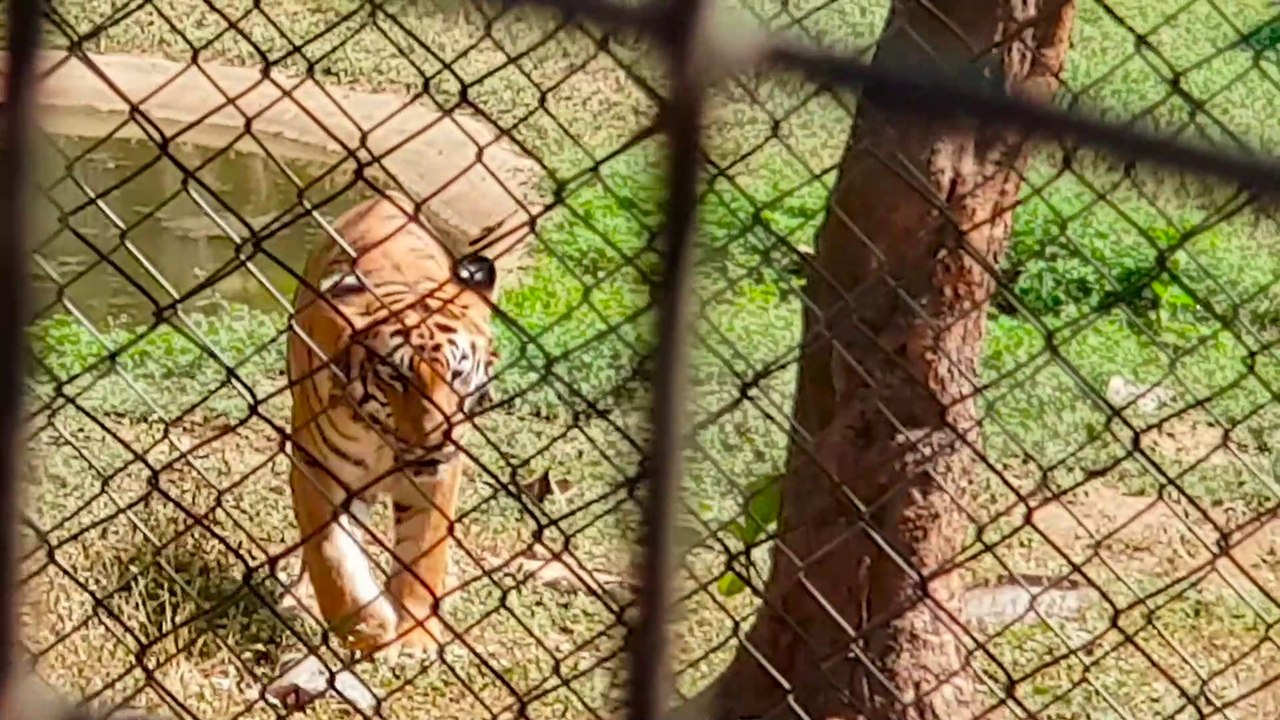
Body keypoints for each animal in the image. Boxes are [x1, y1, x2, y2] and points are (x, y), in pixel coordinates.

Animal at [284, 190, 499, 661]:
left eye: (458, 374)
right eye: (396, 377)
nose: (435, 441)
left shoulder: (439, 477)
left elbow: (423, 555)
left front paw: (416, 639)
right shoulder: (316, 468)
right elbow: (331, 554)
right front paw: (367, 627)